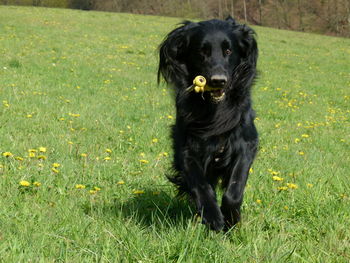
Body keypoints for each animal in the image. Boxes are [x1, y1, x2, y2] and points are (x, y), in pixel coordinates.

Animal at [157, 17, 258, 231]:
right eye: (201, 51)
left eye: (228, 51)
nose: (218, 80)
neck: (215, 109)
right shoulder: (187, 149)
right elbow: (200, 185)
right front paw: (213, 217)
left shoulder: (246, 144)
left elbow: (234, 189)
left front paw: (231, 218)